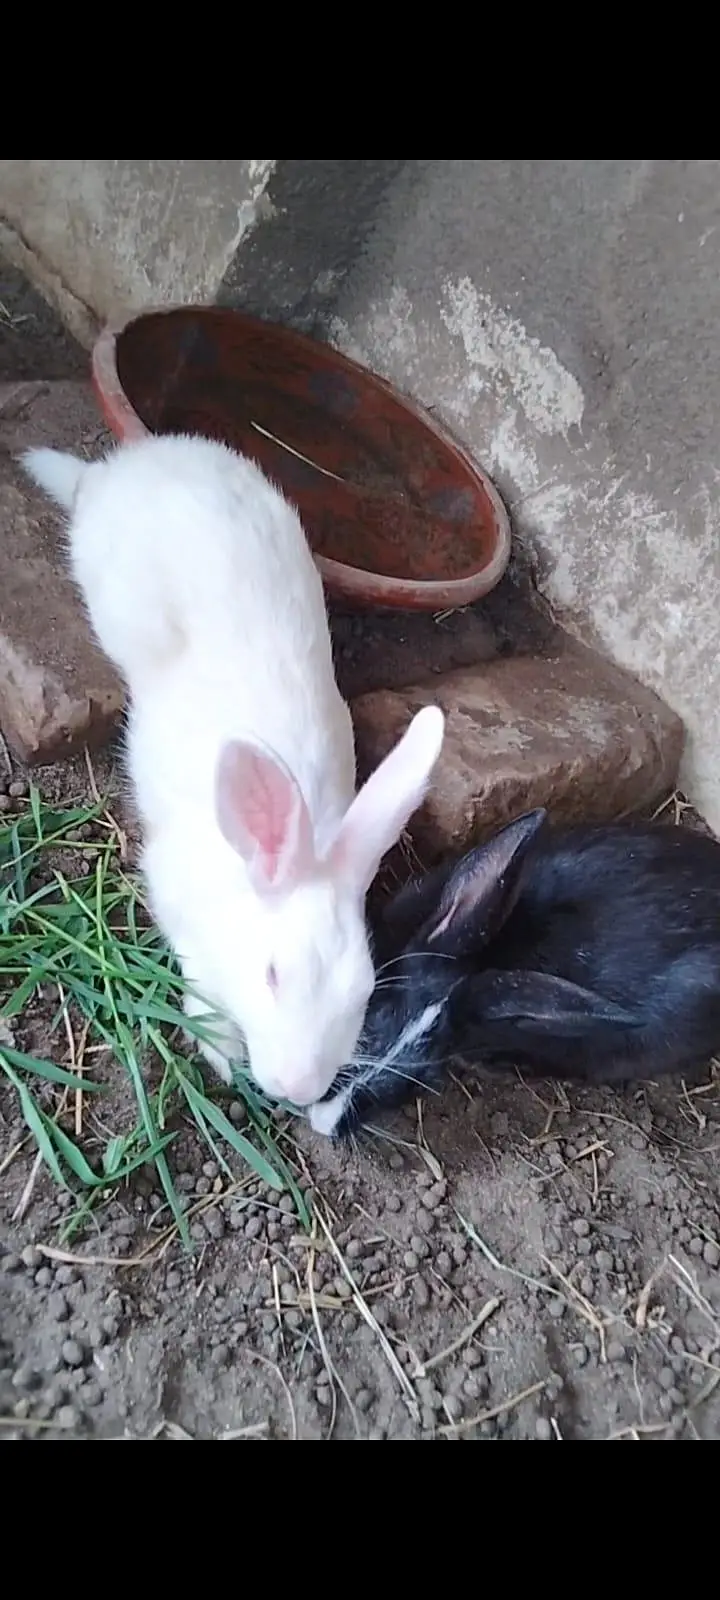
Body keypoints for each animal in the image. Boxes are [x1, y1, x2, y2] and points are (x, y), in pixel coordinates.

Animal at [22, 433, 445, 1106]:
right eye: (272, 975)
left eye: (363, 992)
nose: (298, 1088)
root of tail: (129, 464)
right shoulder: (174, 898)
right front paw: (220, 1053)